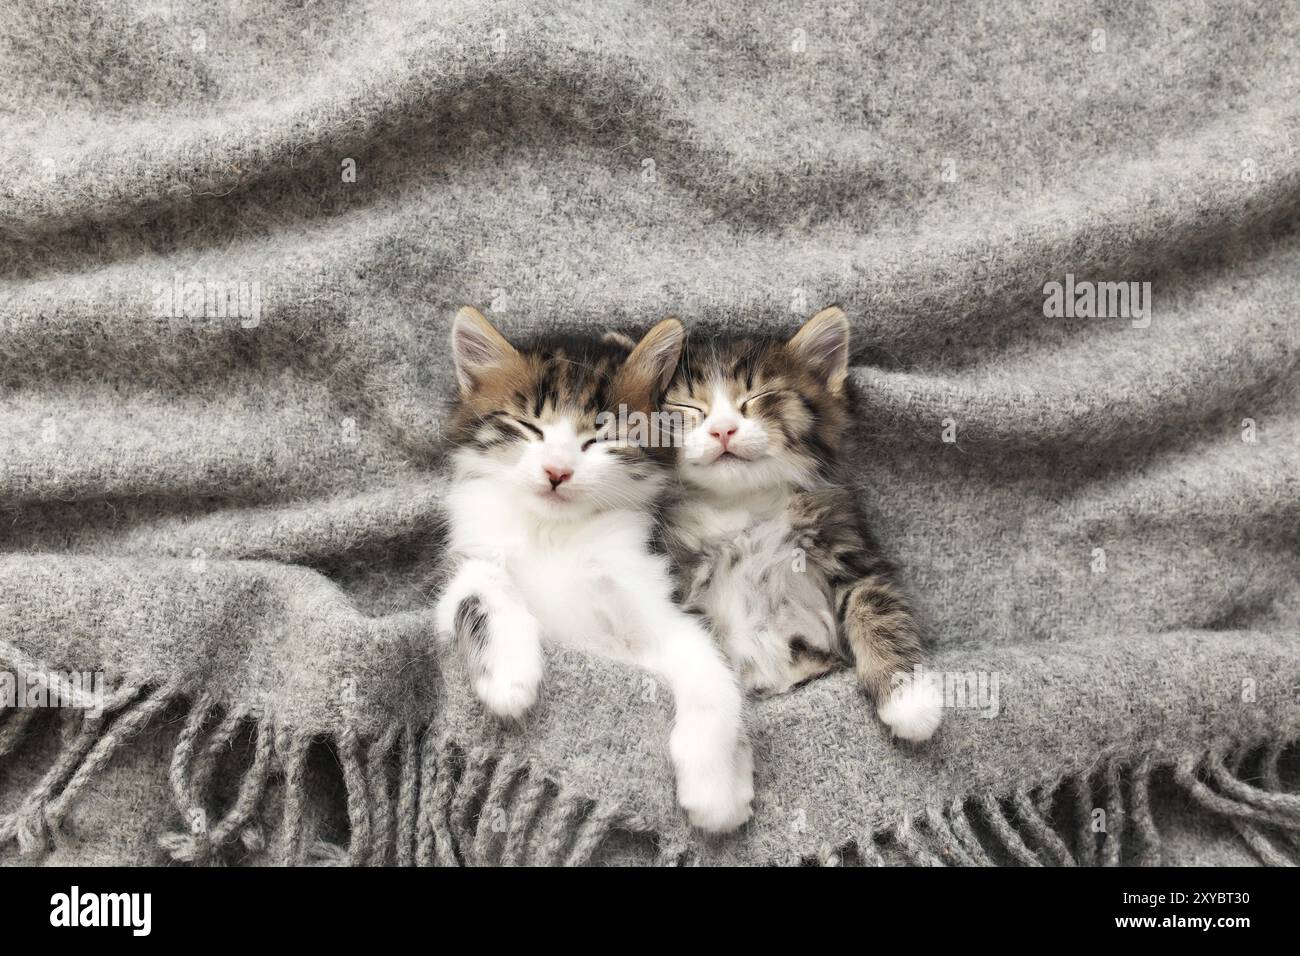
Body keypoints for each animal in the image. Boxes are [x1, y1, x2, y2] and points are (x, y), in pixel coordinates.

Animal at [436, 310, 759, 832]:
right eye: (529, 427)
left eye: (600, 437)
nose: (557, 472)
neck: (554, 531)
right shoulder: (462, 561)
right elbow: (481, 585)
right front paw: (507, 675)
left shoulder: (656, 598)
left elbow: (711, 674)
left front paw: (718, 789)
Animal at [665, 310, 941, 743]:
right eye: (685, 405)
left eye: (758, 396)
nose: (723, 429)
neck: (743, 503)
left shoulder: (848, 542)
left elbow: (877, 607)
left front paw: (909, 701)